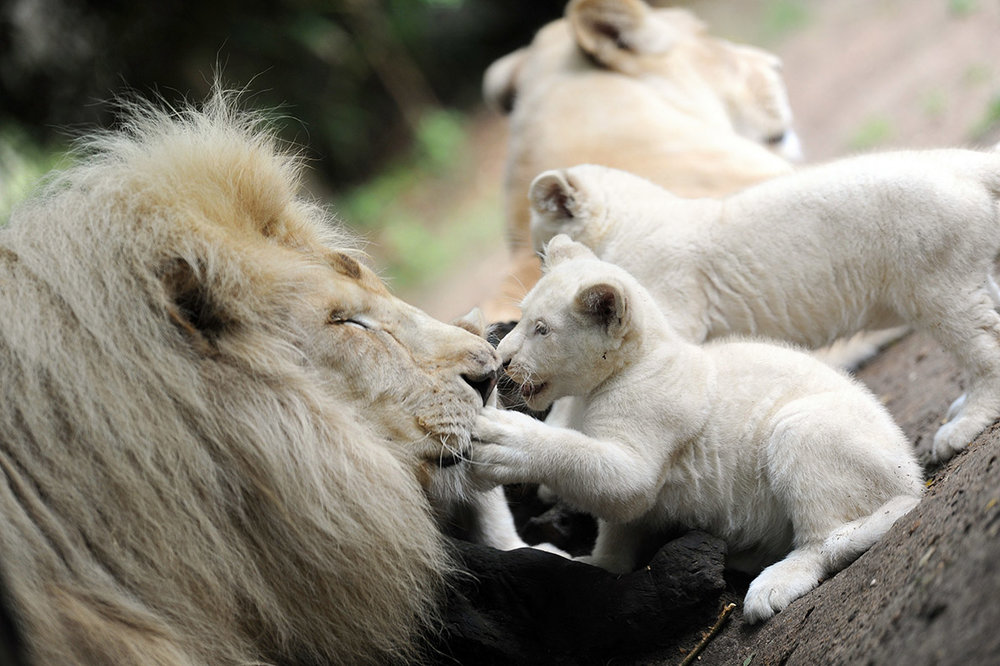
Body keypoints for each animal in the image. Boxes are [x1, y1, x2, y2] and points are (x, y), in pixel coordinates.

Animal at [471, 235, 923, 623]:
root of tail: (913, 474)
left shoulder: (649, 426)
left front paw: (502, 440)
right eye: (521, 317)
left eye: (542, 329)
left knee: (826, 539)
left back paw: (770, 586)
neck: (627, 367)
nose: (503, 358)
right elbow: (617, 529)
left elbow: (610, 477)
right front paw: (595, 562)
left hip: (804, 429)